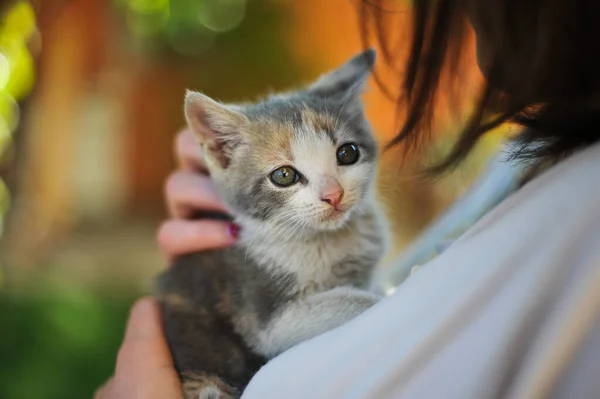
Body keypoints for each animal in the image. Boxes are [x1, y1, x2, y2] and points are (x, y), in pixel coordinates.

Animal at [156, 50, 390, 399]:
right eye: (284, 175)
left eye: (347, 153)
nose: (333, 195)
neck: (322, 241)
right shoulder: (264, 316)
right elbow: (351, 300)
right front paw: (383, 300)